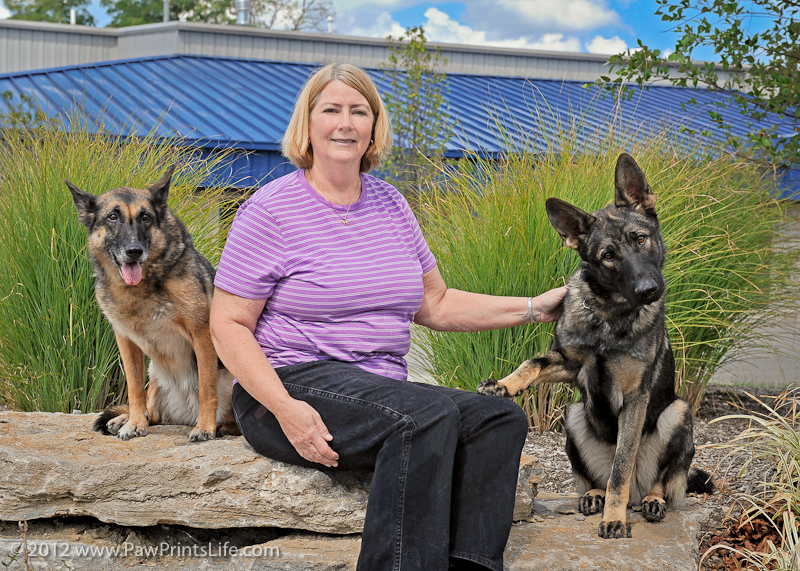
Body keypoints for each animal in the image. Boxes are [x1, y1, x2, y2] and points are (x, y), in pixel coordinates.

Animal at [67, 165, 238, 442]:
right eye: (112, 217)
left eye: (145, 217)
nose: (134, 251)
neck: (140, 287)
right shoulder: (126, 342)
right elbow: (135, 390)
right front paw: (135, 423)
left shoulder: (202, 334)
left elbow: (206, 388)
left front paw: (205, 427)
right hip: (155, 374)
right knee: (153, 411)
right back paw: (125, 419)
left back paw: (222, 426)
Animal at [478, 154, 716, 540]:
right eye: (608, 255)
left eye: (640, 239)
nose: (649, 290)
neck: (608, 316)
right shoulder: (569, 364)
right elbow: (532, 363)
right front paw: (503, 385)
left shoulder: (635, 399)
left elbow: (621, 469)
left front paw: (614, 519)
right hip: (573, 415)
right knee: (592, 478)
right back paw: (593, 495)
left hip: (678, 411)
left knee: (662, 481)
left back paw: (650, 501)